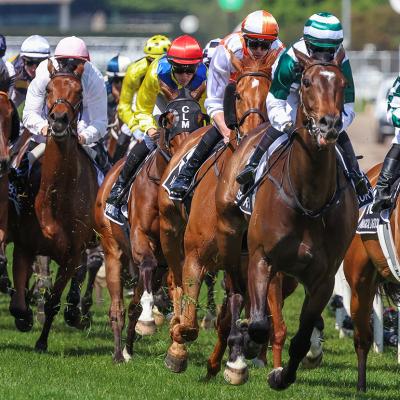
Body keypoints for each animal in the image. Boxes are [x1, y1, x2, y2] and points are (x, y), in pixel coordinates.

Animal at [9, 59, 98, 350]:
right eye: (49, 89)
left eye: (78, 92)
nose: (58, 120)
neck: (55, 197)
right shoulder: (24, 246)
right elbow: (19, 301)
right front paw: (24, 317)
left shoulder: (72, 253)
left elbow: (53, 302)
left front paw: (41, 341)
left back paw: (75, 311)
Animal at [95, 90, 209, 362]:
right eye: (168, 120)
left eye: (199, 118)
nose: (186, 151)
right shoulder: (140, 236)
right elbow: (146, 266)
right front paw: (150, 318)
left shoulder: (174, 250)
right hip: (112, 250)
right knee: (117, 307)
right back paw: (118, 352)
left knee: (133, 305)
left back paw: (128, 349)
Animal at [156, 51, 282, 380]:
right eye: (236, 94)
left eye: (271, 94)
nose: (253, 133)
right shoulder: (195, 255)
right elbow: (188, 322)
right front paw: (176, 348)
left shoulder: (250, 263)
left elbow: (232, 318)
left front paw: (231, 362)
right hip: (169, 232)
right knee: (175, 280)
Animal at [245, 47, 358, 390]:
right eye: (306, 82)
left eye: (342, 83)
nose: (329, 124)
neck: (308, 199)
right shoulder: (262, 258)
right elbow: (260, 325)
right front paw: (251, 346)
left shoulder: (323, 278)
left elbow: (301, 338)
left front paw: (283, 375)